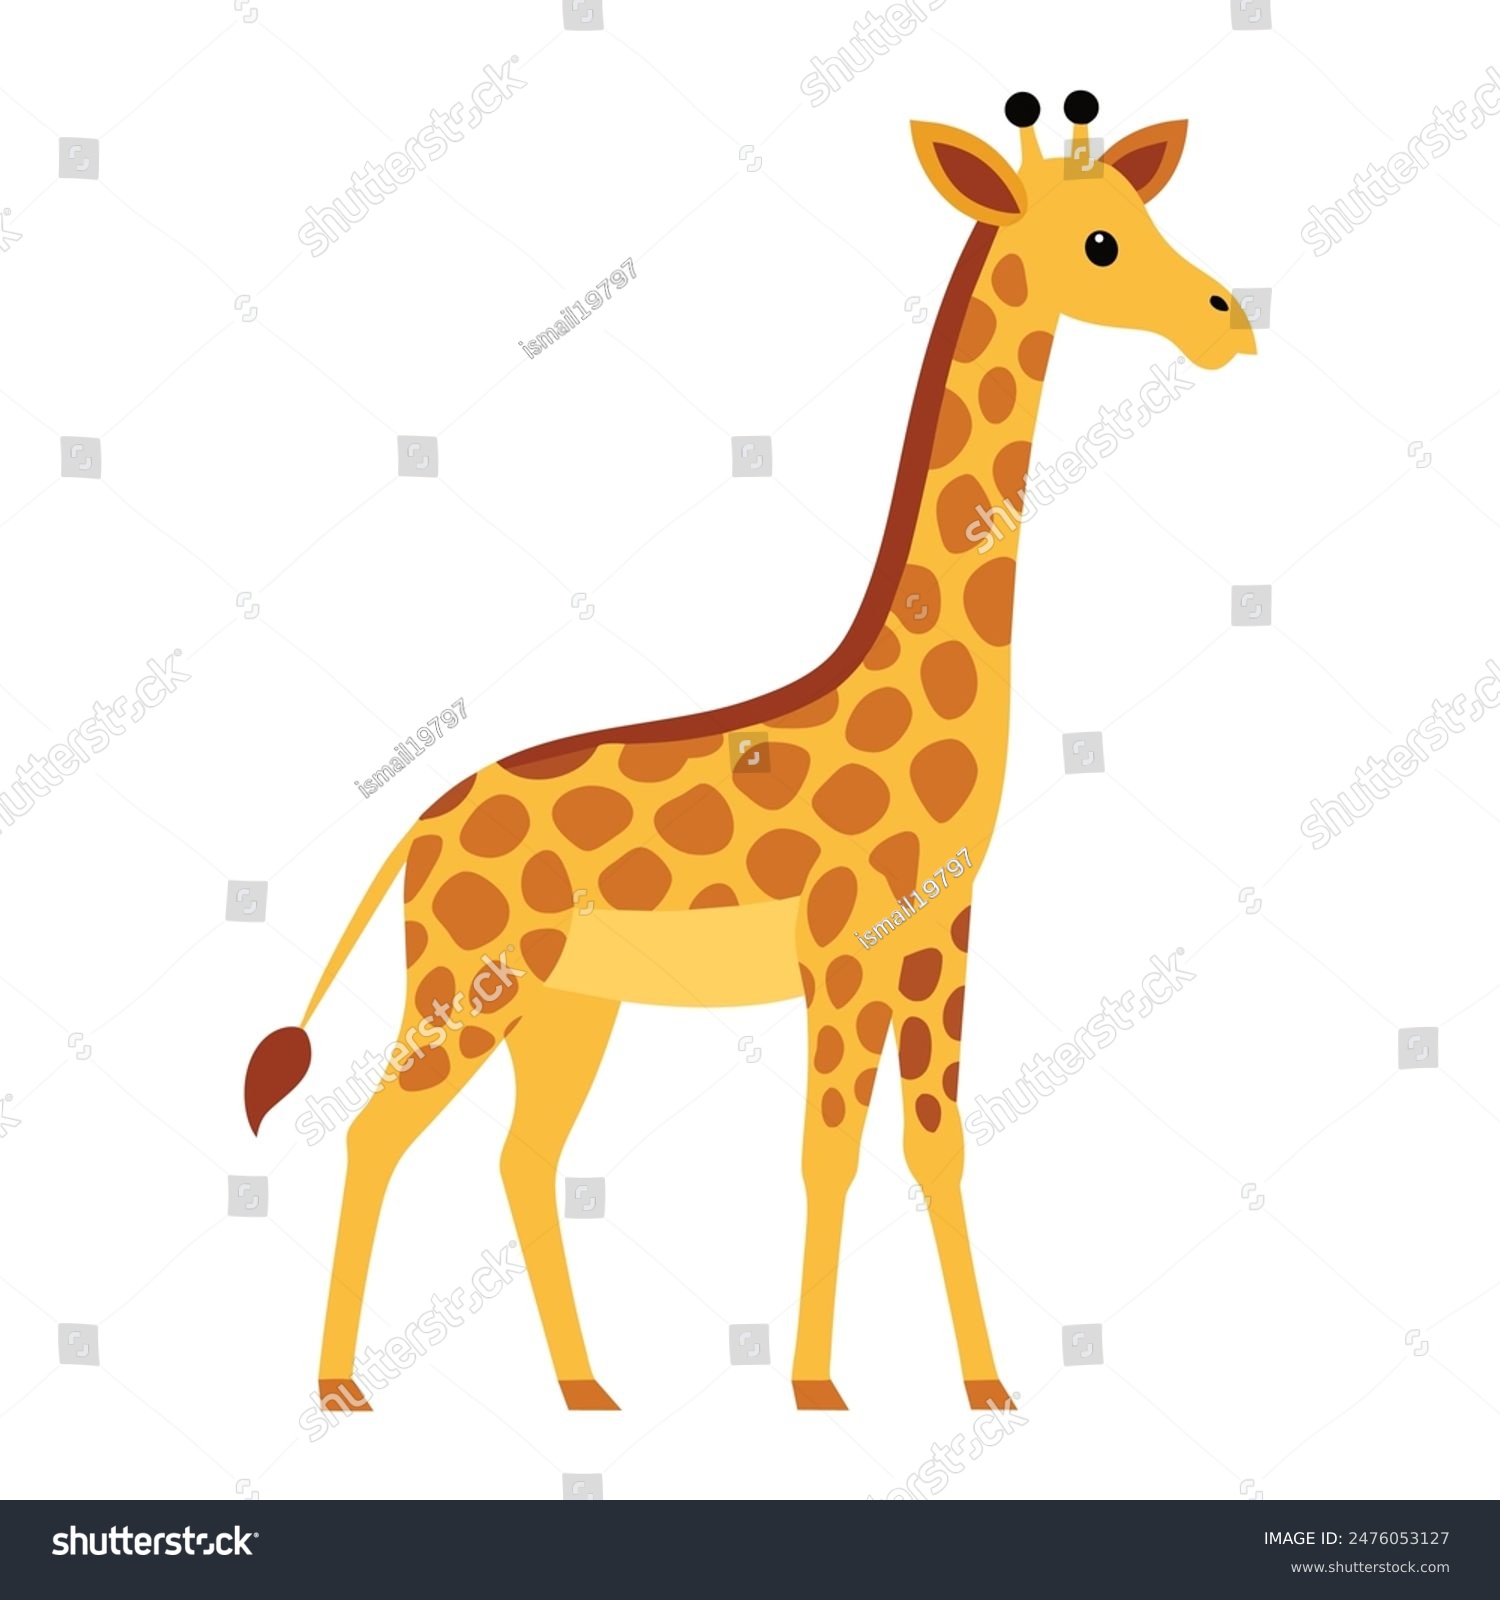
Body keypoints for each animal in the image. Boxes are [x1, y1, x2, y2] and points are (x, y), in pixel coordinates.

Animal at [245, 90, 1254, 1415]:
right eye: (1099, 243)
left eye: (1144, 214)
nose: (1230, 319)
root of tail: (417, 825)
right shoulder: (843, 948)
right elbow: (826, 1152)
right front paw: (816, 1387)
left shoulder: (940, 937)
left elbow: (937, 1143)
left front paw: (985, 1388)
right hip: (473, 977)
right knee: (375, 1131)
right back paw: (341, 1390)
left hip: (568, 1002)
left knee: (521, 1156)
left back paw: (588, 1388)